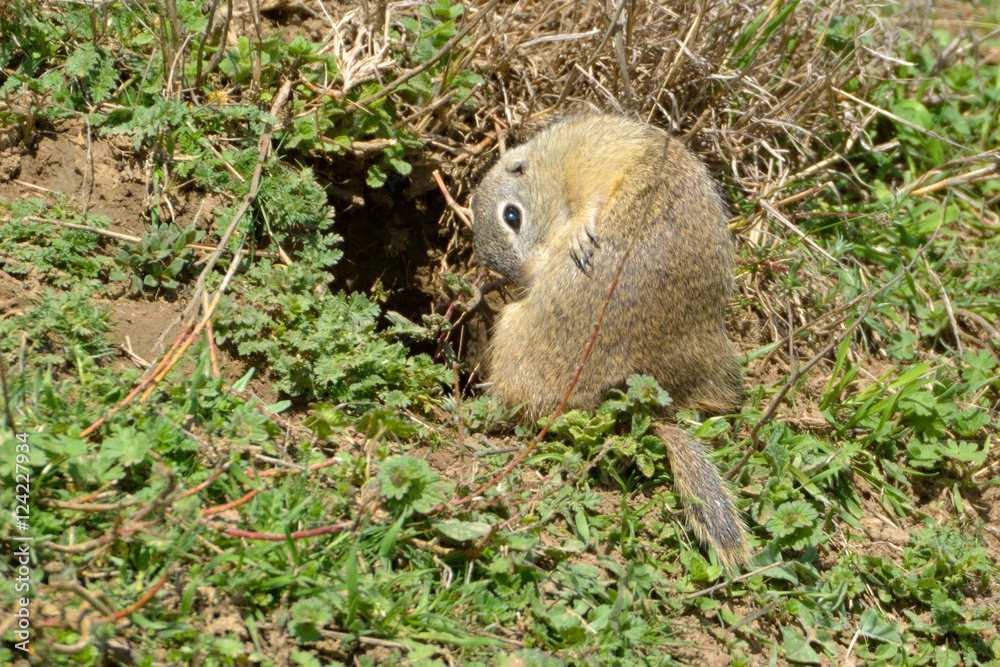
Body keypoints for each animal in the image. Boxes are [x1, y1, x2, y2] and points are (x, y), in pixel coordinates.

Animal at [470, 114, 750, 570]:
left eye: (511, 215)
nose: (526, 279)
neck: (553, 165)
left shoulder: (592, 153)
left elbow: (595, 196)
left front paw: (582, 232)